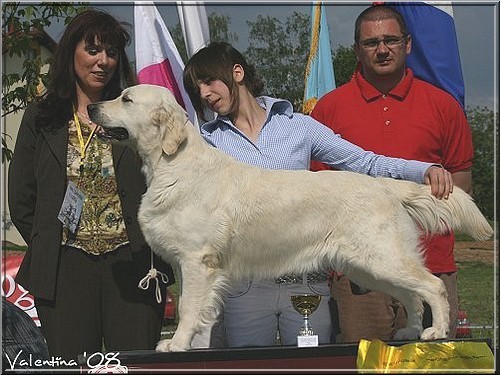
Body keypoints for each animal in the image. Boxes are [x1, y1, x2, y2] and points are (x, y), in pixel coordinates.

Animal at [88, 84, 494, 352]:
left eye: (125, 98)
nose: (91, 106)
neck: (172, 163)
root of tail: (384, 186)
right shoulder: (188, 265)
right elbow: (194, 307)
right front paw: (184, 343)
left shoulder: (196, 260)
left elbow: (188, 308)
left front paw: (176, 345)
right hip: (369, 267)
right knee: (411, 295)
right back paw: (409, 332)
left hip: (382, 258)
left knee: (432, 286)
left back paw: (436, 332)